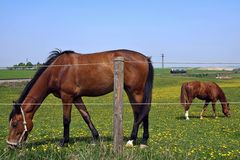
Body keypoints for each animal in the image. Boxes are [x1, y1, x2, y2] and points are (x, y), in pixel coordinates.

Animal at [7, 49, 154, 149]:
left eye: (14, 124)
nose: (10, 145)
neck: (59, 69)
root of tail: (145, 58)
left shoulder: (67, 96)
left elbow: (66, 120)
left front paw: (64, 142)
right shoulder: (76, 97)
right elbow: (86, 116)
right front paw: (95, 138)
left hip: (136, 91)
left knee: (143, 113)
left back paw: (138, 141)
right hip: (130, 91)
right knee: (139, 113)